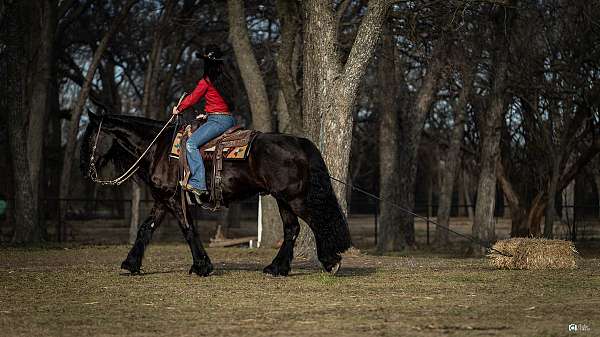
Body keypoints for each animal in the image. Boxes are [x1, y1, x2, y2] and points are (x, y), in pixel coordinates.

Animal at [79, 113, 352, 276]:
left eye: (90, 136)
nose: (84, 169)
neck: (160, 148)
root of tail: (299, 142)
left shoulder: (173, 201)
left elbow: (189, 230)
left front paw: (202, 266)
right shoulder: (162, 200)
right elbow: (145, 229)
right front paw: (131, 264)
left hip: (294, 198)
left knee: (317, 222)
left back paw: (330, 261)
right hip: (282, 199)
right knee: (292, 229)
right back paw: (277, 267)